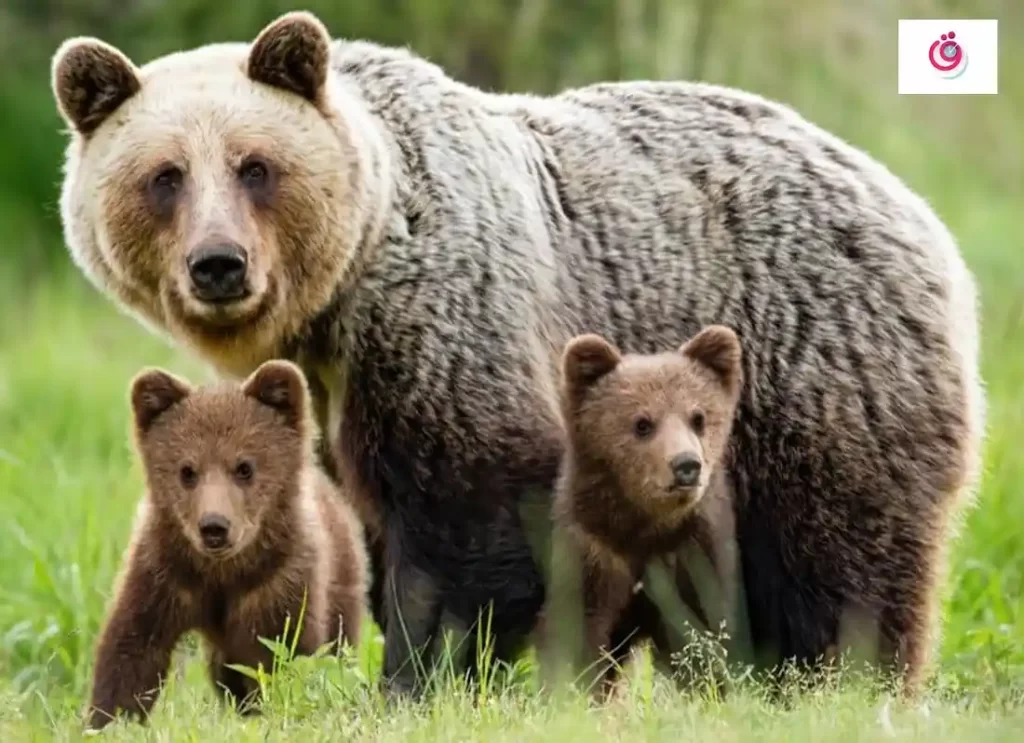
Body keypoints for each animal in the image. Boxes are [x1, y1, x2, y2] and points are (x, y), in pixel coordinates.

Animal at [86, 360, 368, 732]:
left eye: (244, 467)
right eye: (187, 470)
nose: (214, 527)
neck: (222, 573)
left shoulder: (278, 584)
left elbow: (282, 655)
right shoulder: (163, 573)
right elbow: (132, 648)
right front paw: (110, 720)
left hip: (342, 580)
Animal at [544, 329, 745, 695]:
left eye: (698, 417)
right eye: (642, 423)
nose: (686, 465)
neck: (646, 531)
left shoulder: (694, 554)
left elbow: (703, 633)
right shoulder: (595, 553)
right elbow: (578, 636)